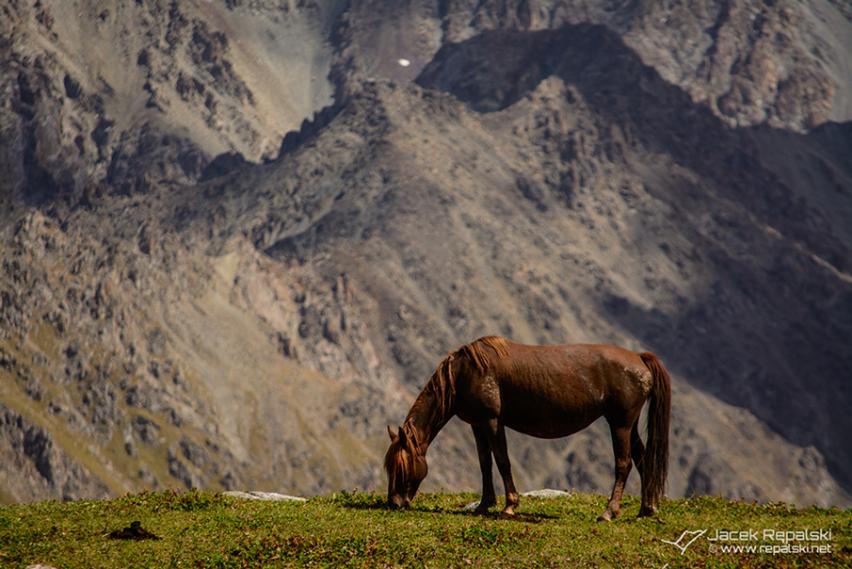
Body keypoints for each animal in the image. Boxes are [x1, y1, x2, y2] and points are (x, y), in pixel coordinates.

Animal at [386, 338, 672, 520]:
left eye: (401, 467)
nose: (394, 503)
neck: (464, 373)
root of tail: (640, 359)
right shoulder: (477, 424)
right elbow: (485, 463)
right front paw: (484, 505)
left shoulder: (492, 421)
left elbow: (502, 461)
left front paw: (509, 506)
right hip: (629, 426)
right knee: (643, 460)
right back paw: (647, 508)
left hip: (620, 424)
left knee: (624, 464)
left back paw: (609, 512)